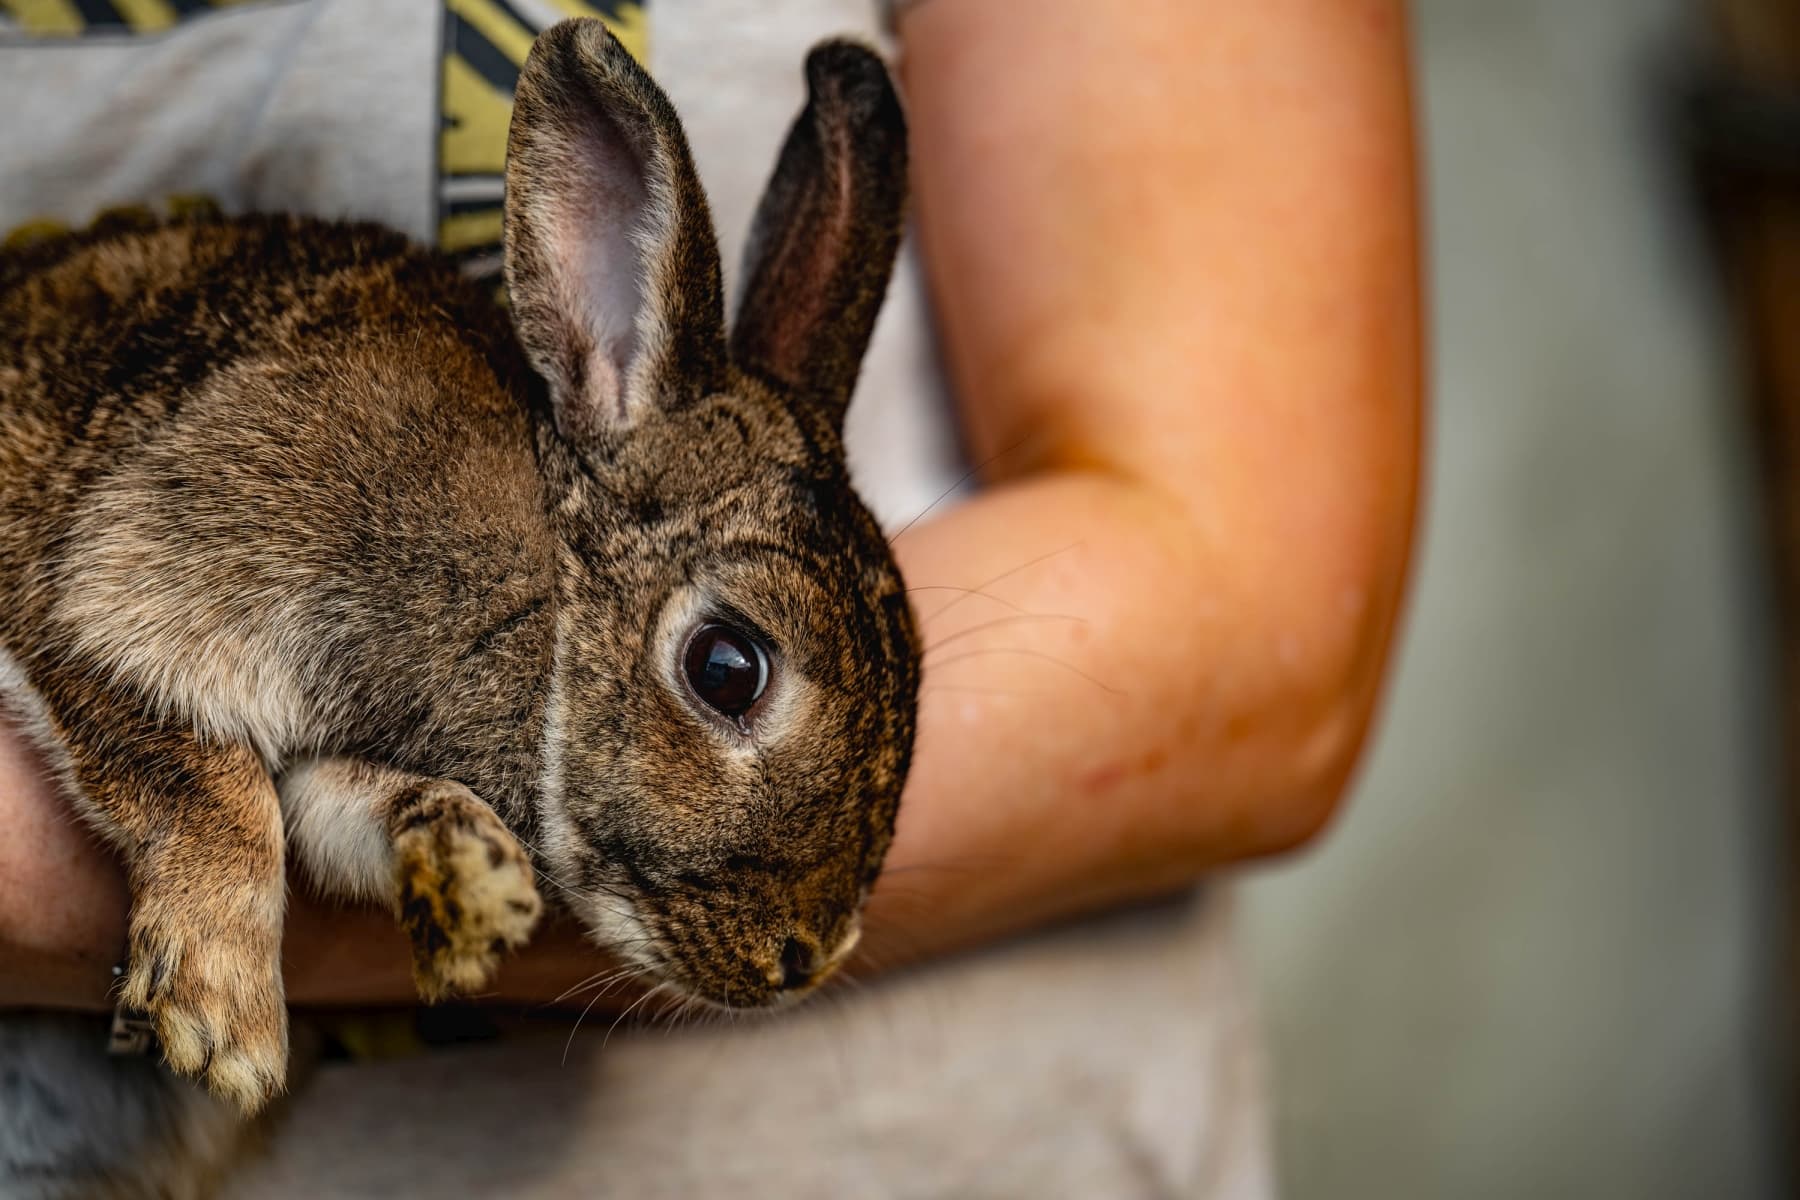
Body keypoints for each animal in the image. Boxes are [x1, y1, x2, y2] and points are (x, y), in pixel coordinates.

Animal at [0, 18, 921, 1200]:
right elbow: (201, 779)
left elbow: (339, 811)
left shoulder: (338, 767)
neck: (544, 595)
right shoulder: (111, 581)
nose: (801, 960)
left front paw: (471, 866)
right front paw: (223, 1019)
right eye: (728, 668)